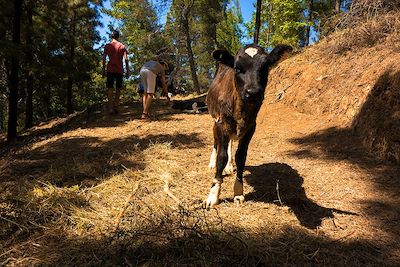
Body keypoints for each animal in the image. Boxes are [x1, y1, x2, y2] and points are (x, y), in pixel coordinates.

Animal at [205, 43, 292, 209]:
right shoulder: (221, 123)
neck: (241, 110)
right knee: (216, 142)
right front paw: (213, 194)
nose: (253, 92)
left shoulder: (251, 127)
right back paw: (212, 162)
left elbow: (241, 157)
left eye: (265, 67)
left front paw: (238, 192)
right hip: (214, 120)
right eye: (237, 68)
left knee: (230, 143)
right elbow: (221, 156)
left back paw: (229, 166)